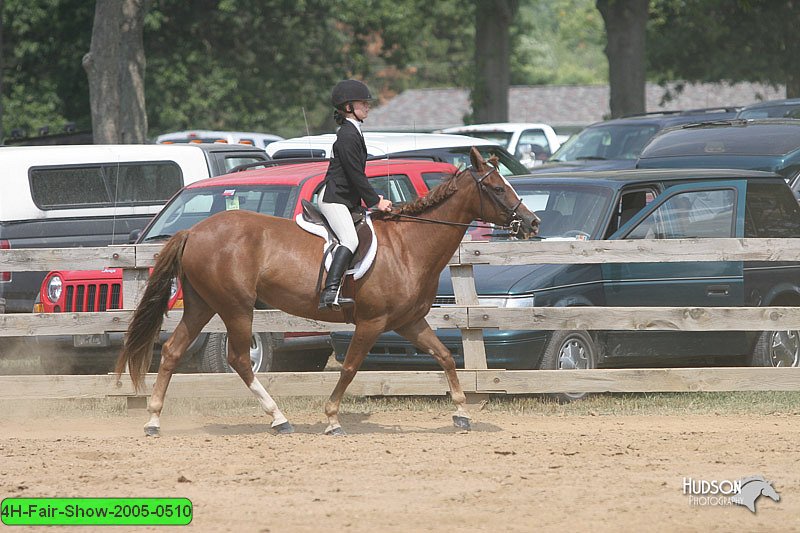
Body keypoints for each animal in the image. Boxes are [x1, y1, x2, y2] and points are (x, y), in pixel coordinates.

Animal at [115, 144, 540, 432]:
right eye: (498, 189)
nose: (532, 223)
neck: (409, 246)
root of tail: (194, 230)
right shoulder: (371, 323)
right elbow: (350, 367)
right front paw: (333, 418)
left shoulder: (409, 322)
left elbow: (446, 357)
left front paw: (462, 412)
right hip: (236, 307)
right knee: (238, 359)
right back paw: (279, 418)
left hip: (203, 304)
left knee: (172, 351)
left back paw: (153, 420)